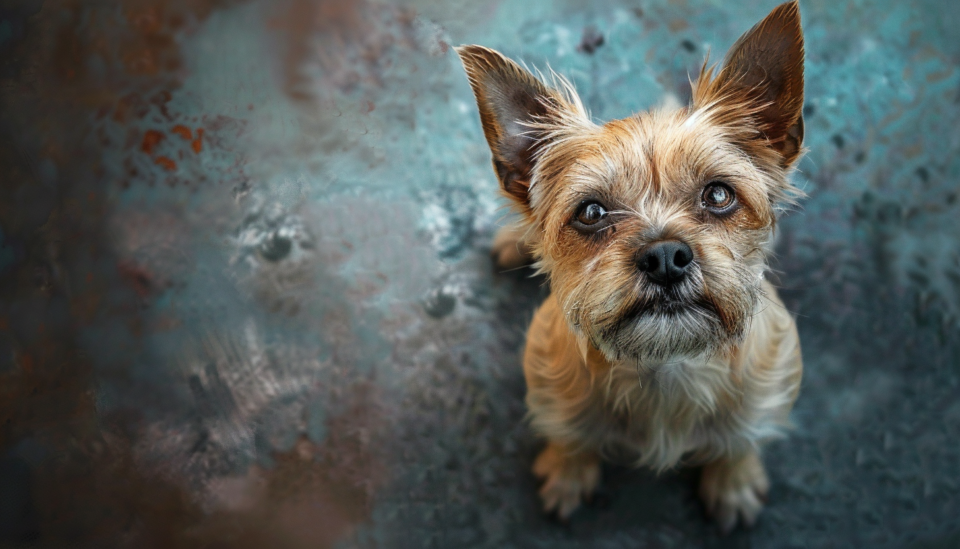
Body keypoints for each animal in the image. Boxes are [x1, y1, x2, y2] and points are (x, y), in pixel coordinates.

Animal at [462, 0, 808, 532]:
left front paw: (734, 481)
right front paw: (567, 473)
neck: (666, 369)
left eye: (719, 195)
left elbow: (740, 440)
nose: (665, 257)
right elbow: (571, 438)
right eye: (591, 212)